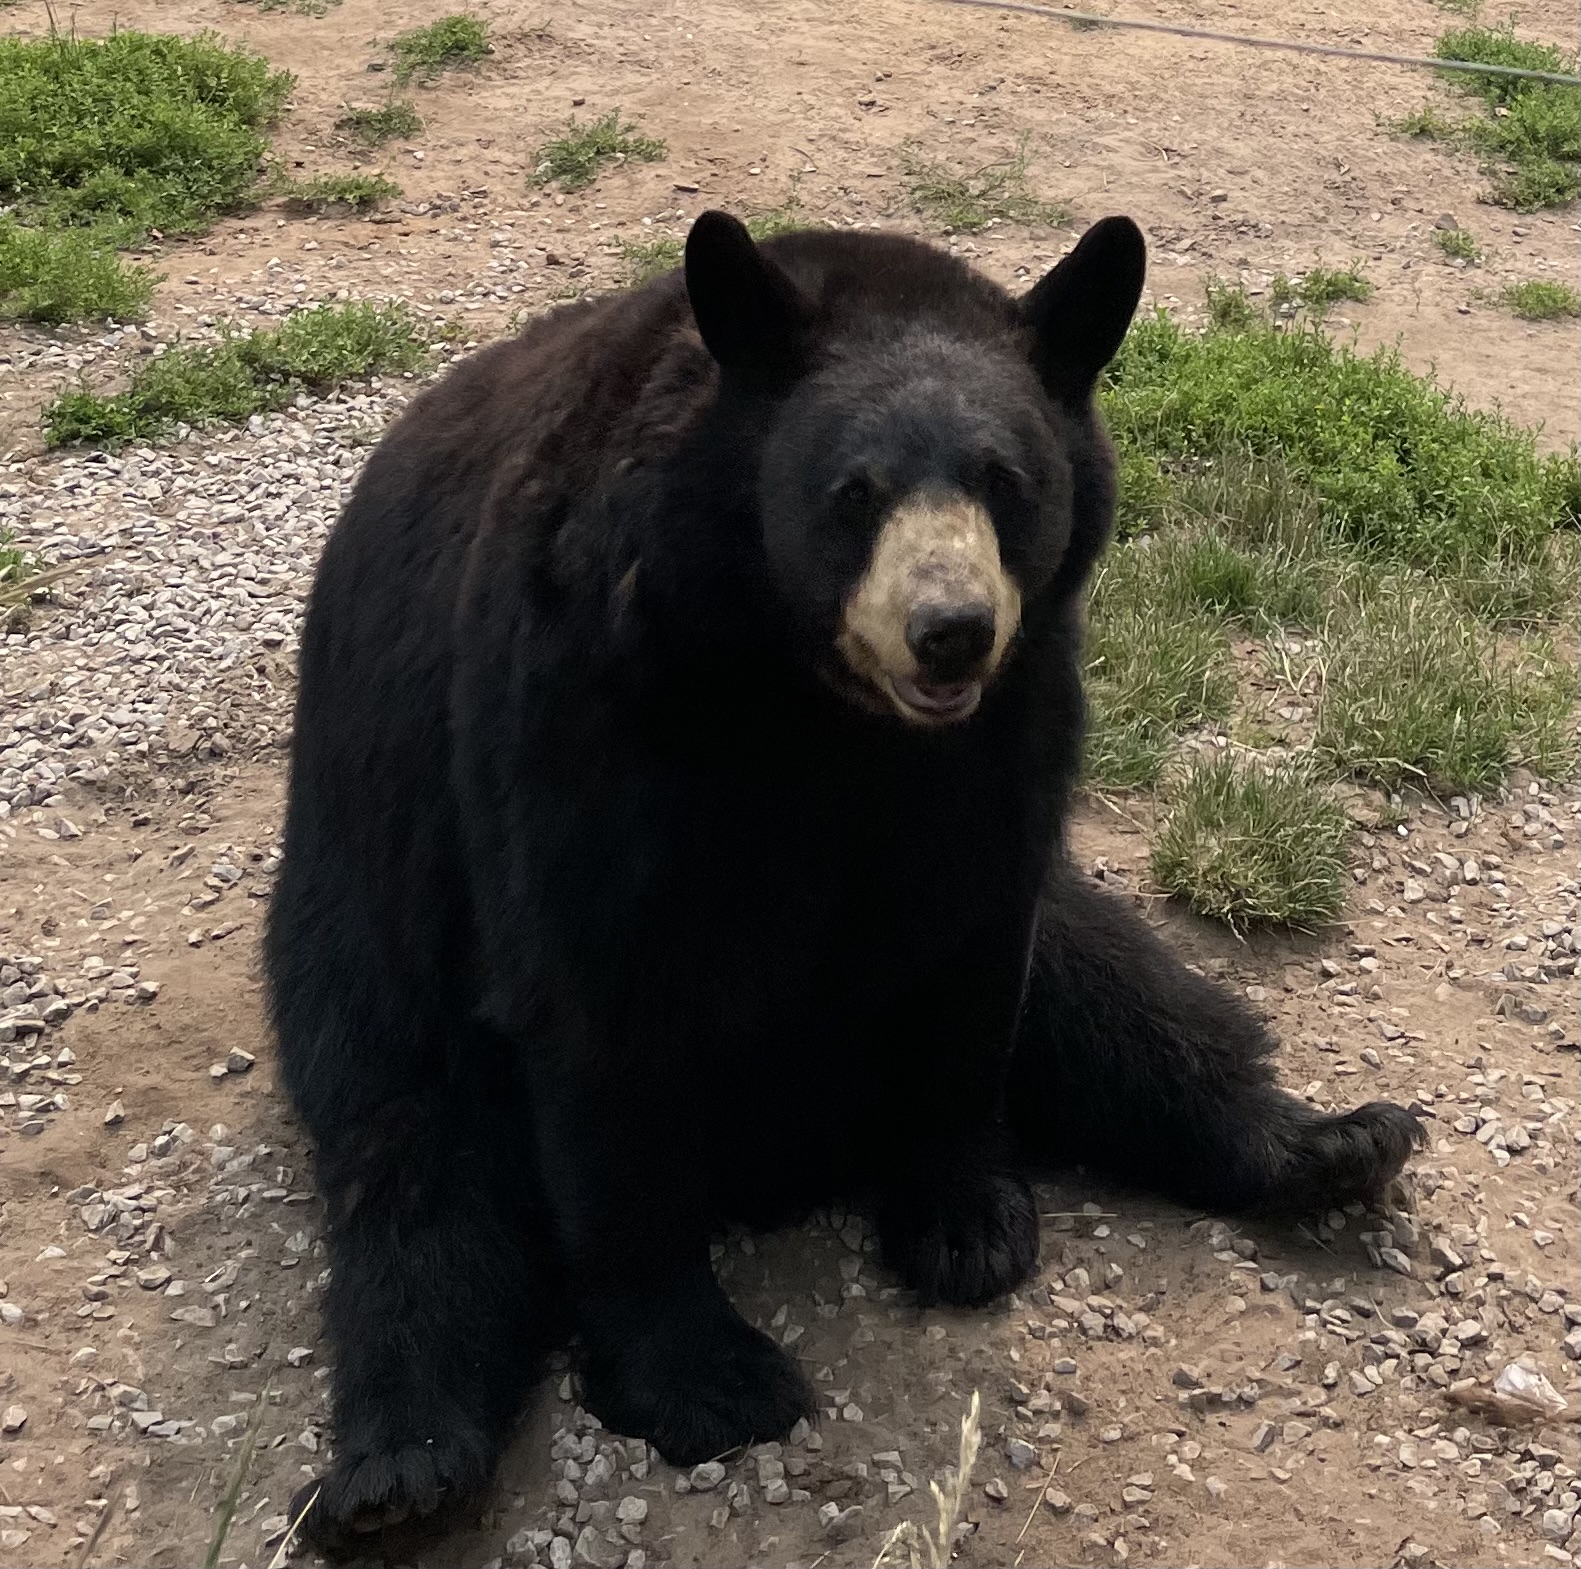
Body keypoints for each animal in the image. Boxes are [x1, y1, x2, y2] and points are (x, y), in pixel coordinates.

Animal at [264, 210, 1424, 1549]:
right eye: (852, 492)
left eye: (1005, 481)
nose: (951, 629)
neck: (810, 703)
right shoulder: (586, 701)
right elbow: (602, 1018)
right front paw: (705, 1375)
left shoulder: (1009, 733)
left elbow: (977, 959)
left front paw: (966, 1223)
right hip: (368, 927)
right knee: (414, 1162)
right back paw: (401, 1469)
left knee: (1124, 994)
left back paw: (1332, 1143)